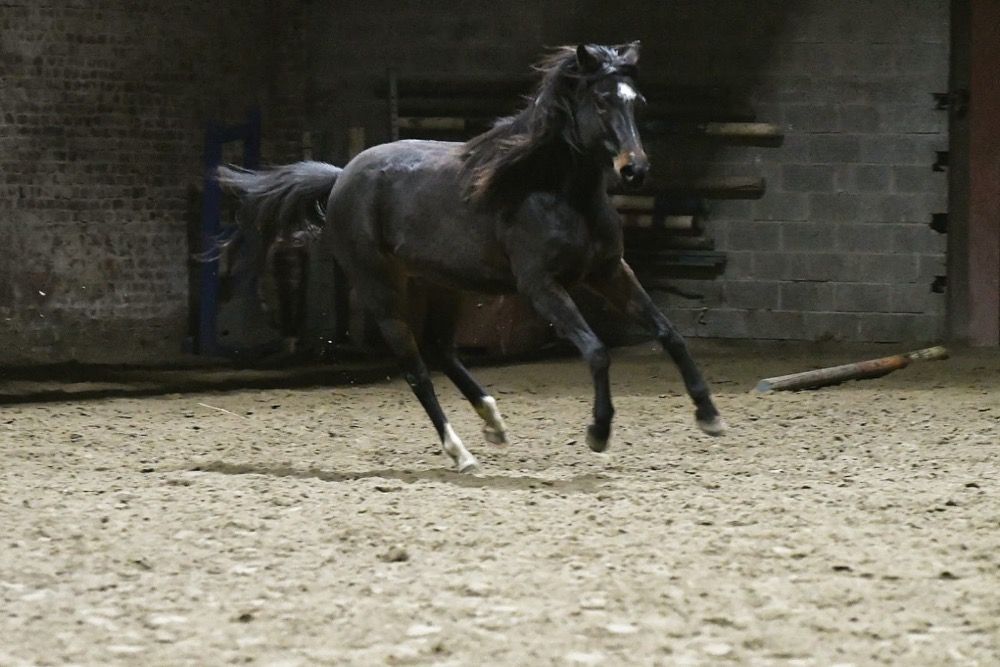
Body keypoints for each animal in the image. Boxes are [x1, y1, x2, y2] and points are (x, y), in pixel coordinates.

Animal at [217, 42, 725, 473]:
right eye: (601, 101)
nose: (635, 169)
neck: (552, 189)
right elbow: (597, 351)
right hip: (383, 292)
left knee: (441, 350)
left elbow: (669, 333)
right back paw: (459, 452)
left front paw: (709, 415)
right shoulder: (541, 286)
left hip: (442, 285)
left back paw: (493, 423)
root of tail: (341, 178)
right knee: (416, 368)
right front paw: (598, 432)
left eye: (636, 101)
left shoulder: (608, 271)